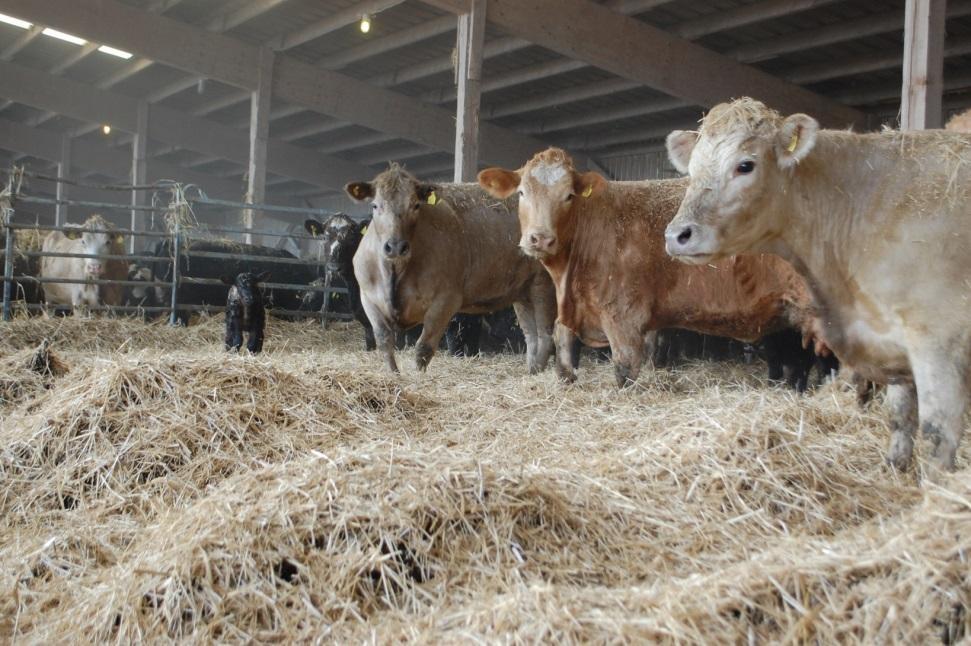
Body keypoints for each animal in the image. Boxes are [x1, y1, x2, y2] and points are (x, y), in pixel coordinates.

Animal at [350, 163, 556, 374]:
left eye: (415, 205)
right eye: (375, 206)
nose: (395, 246)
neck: (396, 269)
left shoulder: (446, 300)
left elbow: (423, 348)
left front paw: (418, 377)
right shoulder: (368, 298)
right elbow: (384, 342)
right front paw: (394, 375)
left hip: (543, 284)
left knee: (546, 336)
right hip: (522, 290)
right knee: (531, 335)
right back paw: (531, 371)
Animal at [478, 147, 820, 390]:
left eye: (569, 195)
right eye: (522, 193)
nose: (541, 238)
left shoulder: (624, 316)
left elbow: (624, 370)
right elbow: (562, 347)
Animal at [664, 98, 971, 478]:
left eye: (745, 165)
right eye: (691, 170)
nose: (677, 235)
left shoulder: (938, 342)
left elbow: (937, 435)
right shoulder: (892, 344)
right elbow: (900, 419)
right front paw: (893, 473)